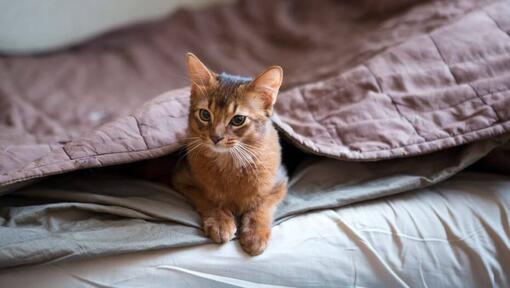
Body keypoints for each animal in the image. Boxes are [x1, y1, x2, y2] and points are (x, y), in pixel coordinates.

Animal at [171, 53, 286, 255]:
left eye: (238, 119)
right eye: (205, 114)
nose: (215, 137)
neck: (230, 163)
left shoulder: (280, 182)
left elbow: (263, 205)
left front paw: (255, 233)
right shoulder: (182, 179)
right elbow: (206, 198)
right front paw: (220, 221)